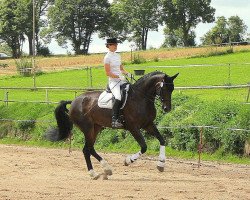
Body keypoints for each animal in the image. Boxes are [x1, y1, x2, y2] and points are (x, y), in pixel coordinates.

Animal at [45, 70, 178, 180]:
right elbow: (144, 147)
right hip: (87, 128)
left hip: (96, 128)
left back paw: (104, 170)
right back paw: (96, 172)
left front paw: (161, 164)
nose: (167, 109)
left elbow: (162, 140)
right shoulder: (133, 127)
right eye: (164, 89)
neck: (141, 98)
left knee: (89, 148)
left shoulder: (148, 124)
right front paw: (128, 161)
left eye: (172, 89)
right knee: (87, 149)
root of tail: (74, 101)